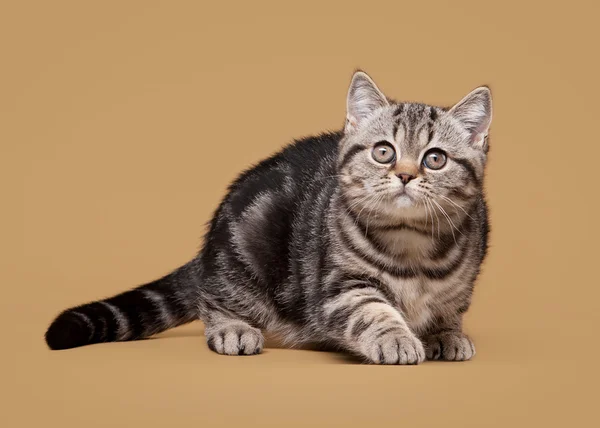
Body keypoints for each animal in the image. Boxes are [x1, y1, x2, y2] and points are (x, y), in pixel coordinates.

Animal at [43, 70, 492, 364]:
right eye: (383, 151)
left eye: (435, 159)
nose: (405, 174)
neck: (413, 245)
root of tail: (209, 247)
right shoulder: (338, 286)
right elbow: (371, 310)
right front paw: (396, 337)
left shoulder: (463, 282)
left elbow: (450, 306)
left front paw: (446, 334)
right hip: (243, 251)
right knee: (212, 297)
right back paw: (232, 329)